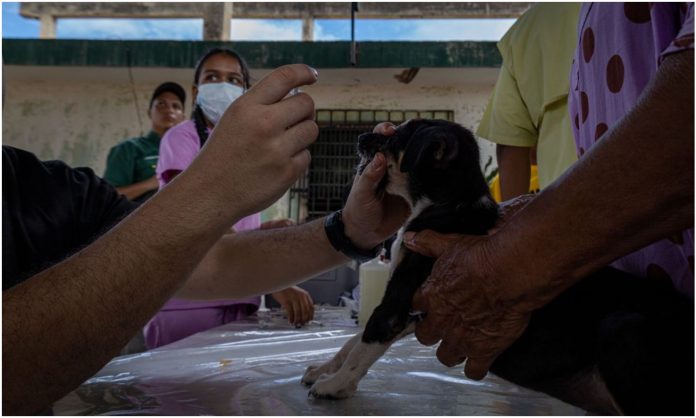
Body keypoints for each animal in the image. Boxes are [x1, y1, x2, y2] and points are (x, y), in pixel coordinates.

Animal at [302, 118, 692, 414]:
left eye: (396, 137)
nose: (359, 138)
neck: (448, 204)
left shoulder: (400, 301)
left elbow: (365, 343)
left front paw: (336, 385)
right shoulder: (417, 306)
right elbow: (353, 341)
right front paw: (323, 369)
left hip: (625, 329)